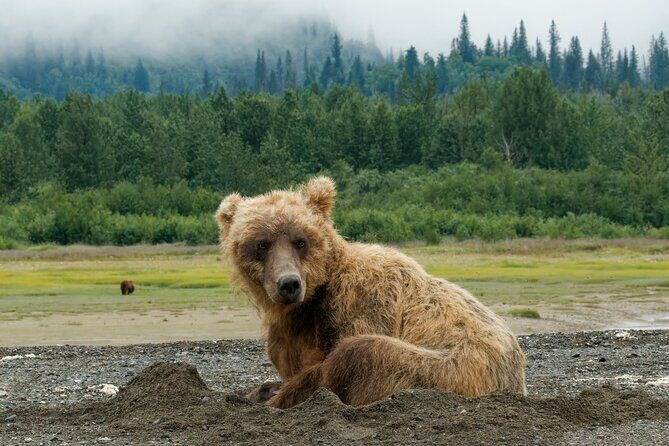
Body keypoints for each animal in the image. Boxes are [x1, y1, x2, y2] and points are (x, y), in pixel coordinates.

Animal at [216, 177, 526, 409]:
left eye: (300, 240)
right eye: (262, 244)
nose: (289, 283)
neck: (314, 300)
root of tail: (517, 379)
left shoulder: (362, 301)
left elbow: (333, 359)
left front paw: (274, 395)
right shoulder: (291, 335)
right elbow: (288, 358)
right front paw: (265, 389)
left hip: (455, 369)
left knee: (360, 352)